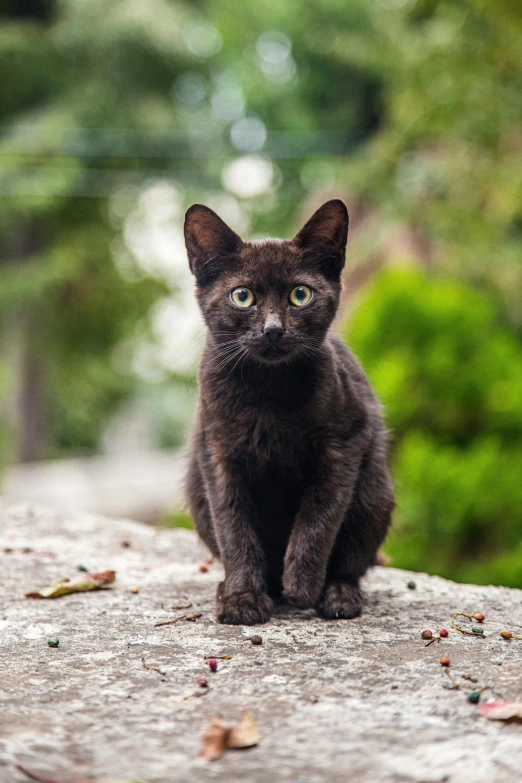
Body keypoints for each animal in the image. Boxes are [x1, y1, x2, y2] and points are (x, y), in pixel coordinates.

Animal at [183, 201, 390, 624]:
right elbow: (232, 526)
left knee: (353, 560)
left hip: (374, 493)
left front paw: (303, 587)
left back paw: (339, 593)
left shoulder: (346, 440)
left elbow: (319, 516)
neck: (268, 390)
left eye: (300, 294)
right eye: (242, 296)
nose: (273, 330)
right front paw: (242, 597)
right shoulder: (216, 452)